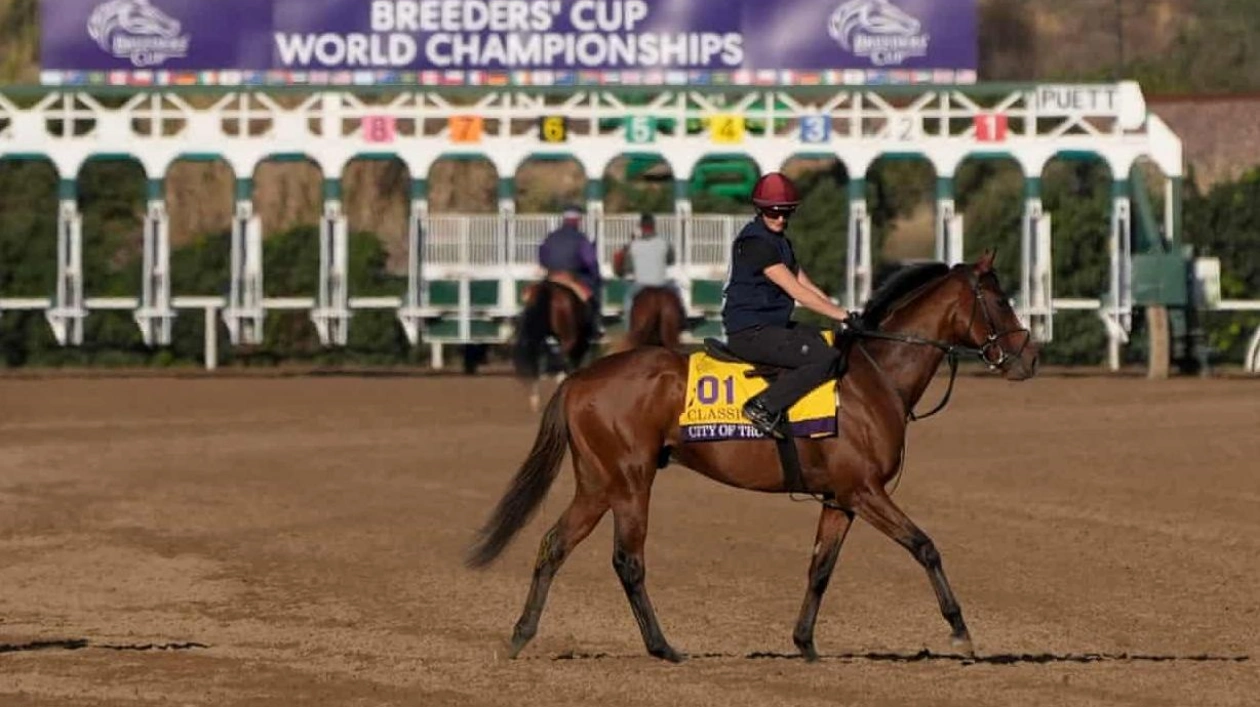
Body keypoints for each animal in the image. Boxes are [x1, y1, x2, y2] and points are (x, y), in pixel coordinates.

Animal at [511, 274, 594, 410]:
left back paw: (535, 400)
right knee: (565, 359)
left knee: (535, 357)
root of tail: (548, 287)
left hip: (537, 336)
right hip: (568, 338)